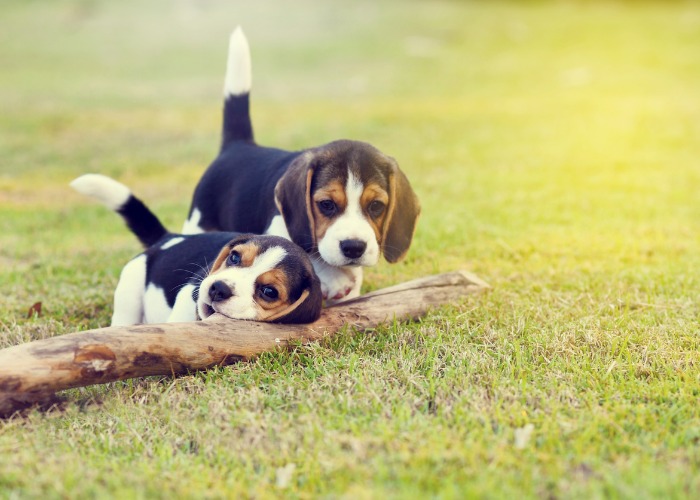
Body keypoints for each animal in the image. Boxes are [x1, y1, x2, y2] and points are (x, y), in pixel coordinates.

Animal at [71, 174, 322, 326]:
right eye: (234, 257)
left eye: (269, 291)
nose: (218, 288)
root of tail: (168, 238)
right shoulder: (189, 291)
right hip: (130, 289)